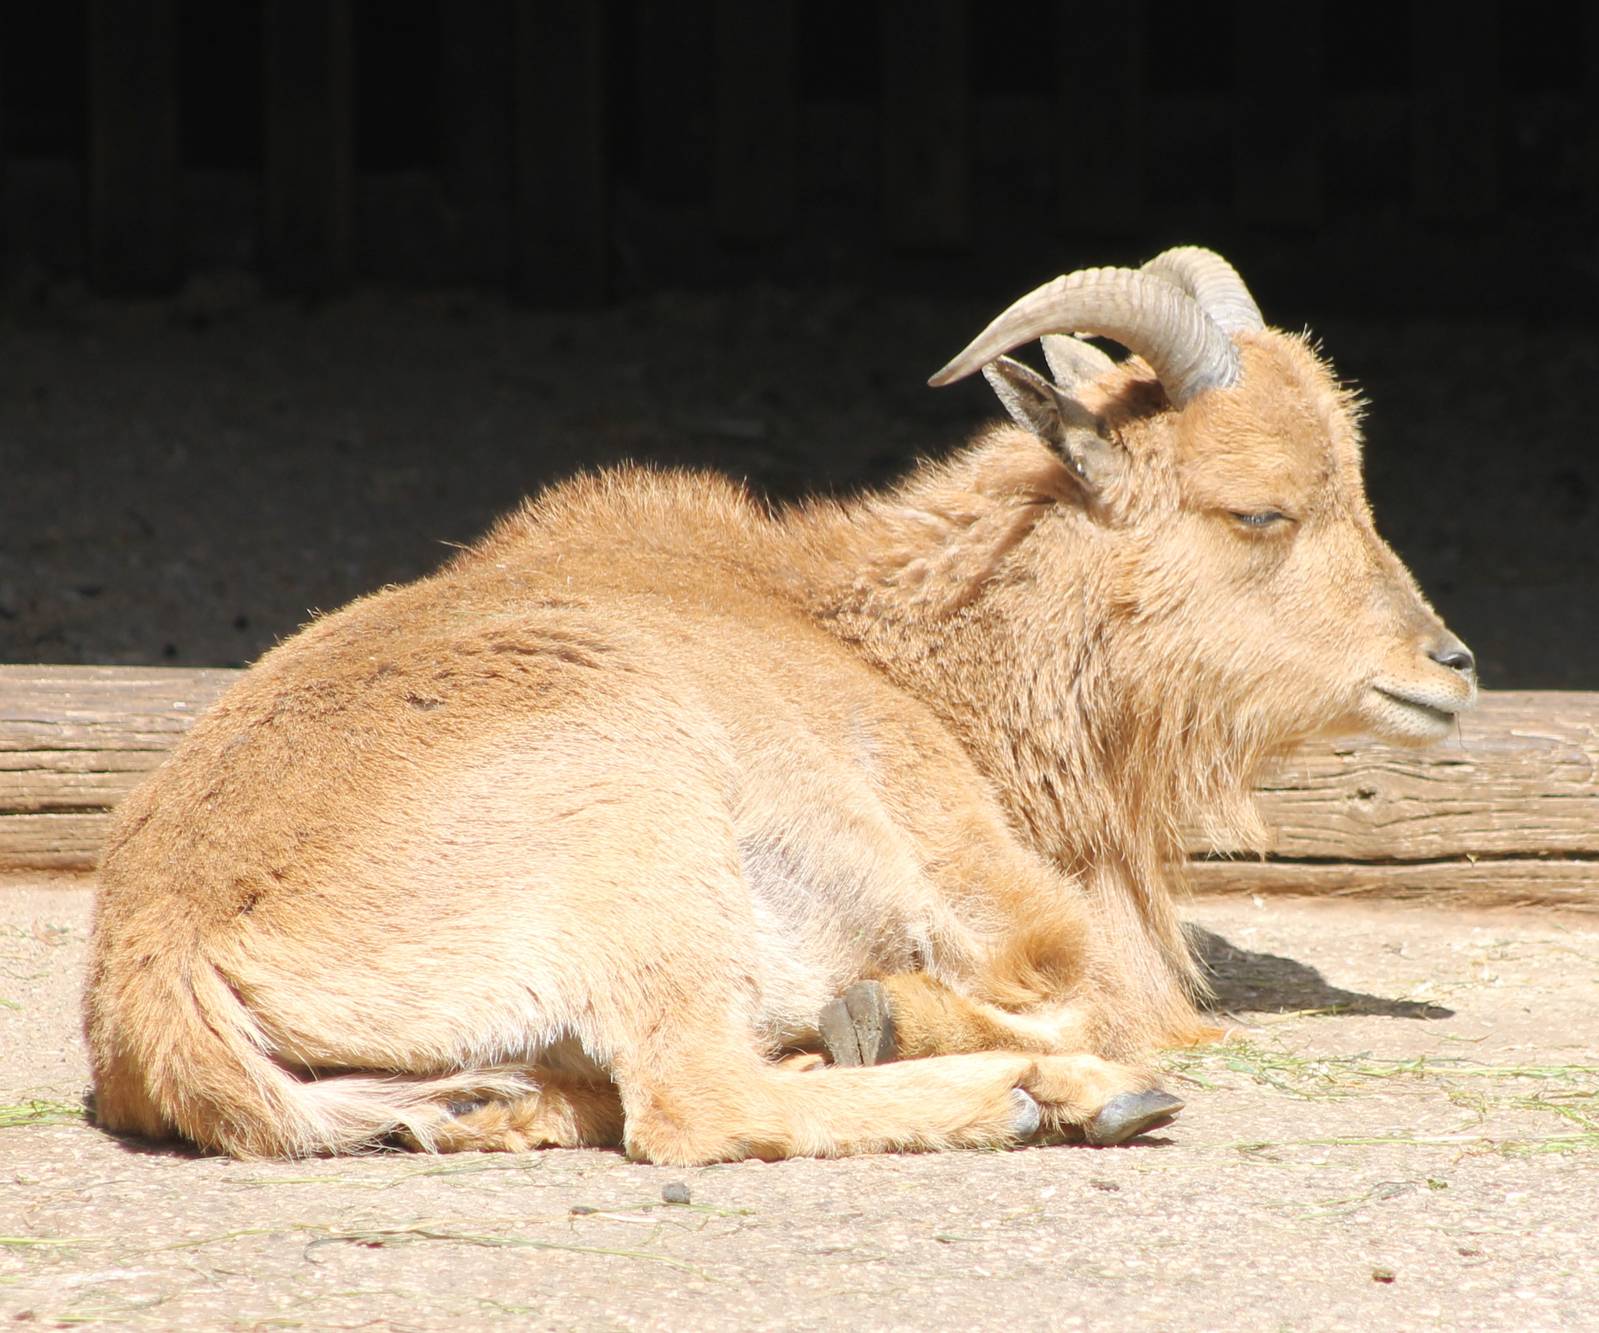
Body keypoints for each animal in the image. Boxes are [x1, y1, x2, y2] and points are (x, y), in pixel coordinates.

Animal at [83, 247, 1477, 1164]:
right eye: (1260, 509)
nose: (1451, 665)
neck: (904, 656)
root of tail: (160, 961)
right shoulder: (998, 895)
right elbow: (1093, 993)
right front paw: (913, 1022)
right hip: (642, 840)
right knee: (700, 1104)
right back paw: (1044, 1094)